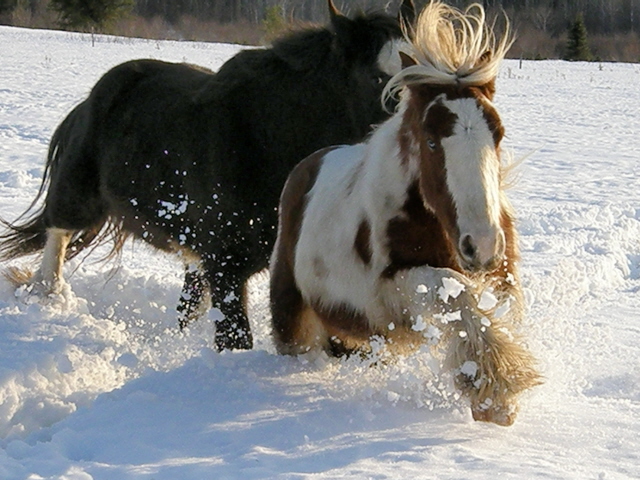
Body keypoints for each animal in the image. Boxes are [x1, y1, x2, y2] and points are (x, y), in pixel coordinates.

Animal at [0, 1, 416, 350]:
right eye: (377, 78)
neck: (267, 135)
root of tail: (92, 99)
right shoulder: (224, 263)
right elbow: (235, 339)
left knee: (187, 305)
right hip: (79, 196)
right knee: (57, 233)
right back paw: (49, 295)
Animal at [268, 1, 540, 426]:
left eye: (498, 133)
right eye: (430, 140)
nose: (480, 245)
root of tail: (306, 168)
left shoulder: (502, 277)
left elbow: (492, 307)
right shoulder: (392, 292)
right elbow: (453, 292)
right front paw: (493, 391)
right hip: (293, 319)